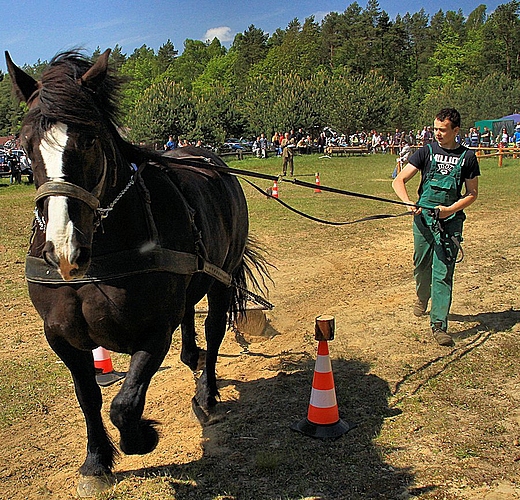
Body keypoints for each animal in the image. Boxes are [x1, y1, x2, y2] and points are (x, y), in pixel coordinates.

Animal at [5, 49, 268, 496]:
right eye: (24, 145)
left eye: (89, 138)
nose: (63, 248)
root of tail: (210, 158)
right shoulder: (61, 337)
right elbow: (89, 397)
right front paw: (96, 463)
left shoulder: (153, 331)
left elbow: (124, 404)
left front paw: (142, 437)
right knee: (190, 318)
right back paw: (192, 357)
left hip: (222, 276)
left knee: (214, 329)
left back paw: (207, 395)